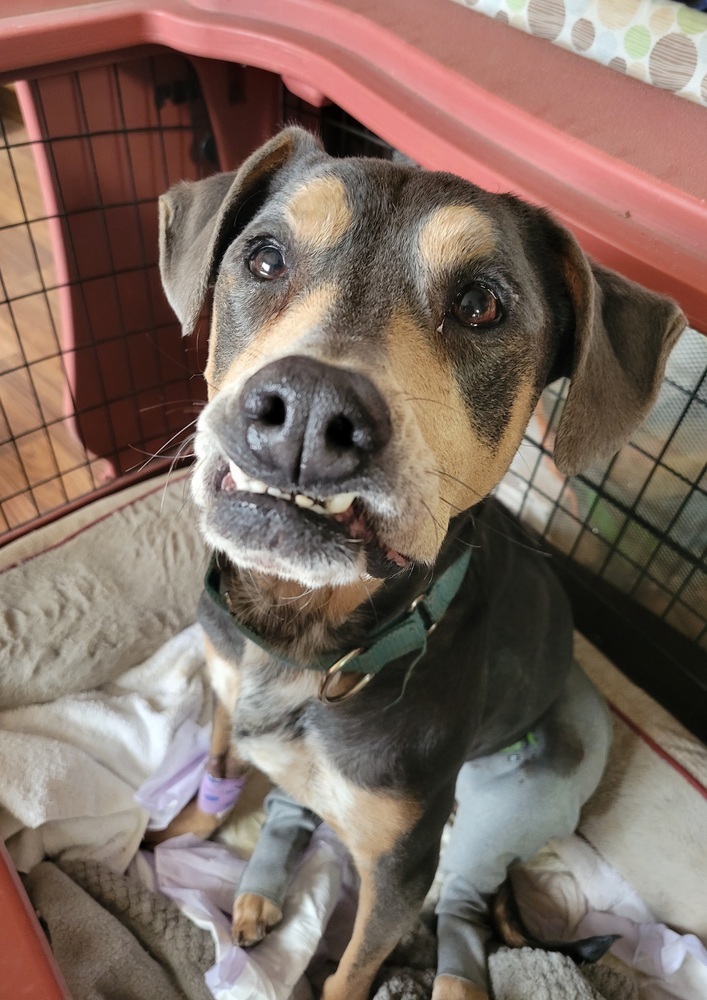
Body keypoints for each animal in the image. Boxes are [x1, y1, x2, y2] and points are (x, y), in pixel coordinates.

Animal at [156, 125, 684, 1000]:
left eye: (479, 305)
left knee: (463, 920)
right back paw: (260, 890)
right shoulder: (227, 687)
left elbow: (351, 972)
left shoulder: (401, 865)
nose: (308, 411)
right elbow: (218, 767)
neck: (305, 640)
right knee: (291, 807)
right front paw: (168, 834)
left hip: (487, 824)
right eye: (263, 258)